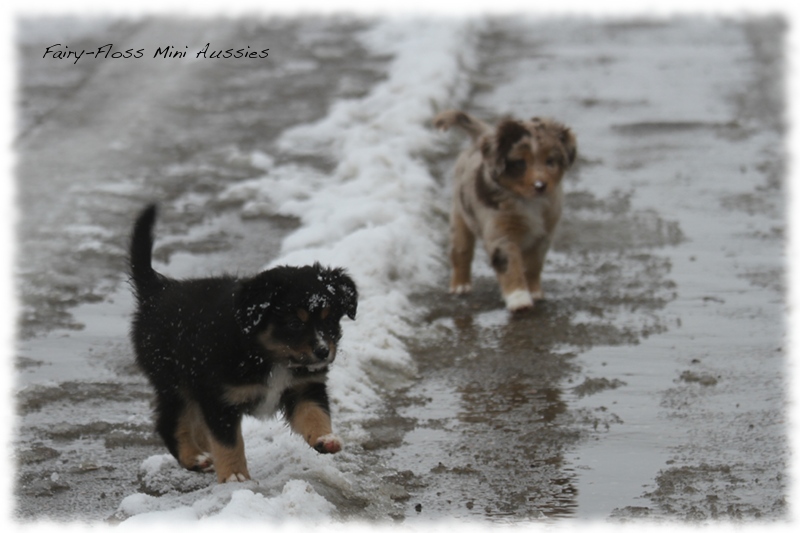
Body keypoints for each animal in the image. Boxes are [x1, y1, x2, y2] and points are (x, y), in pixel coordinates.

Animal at [128, 205, 356, 482]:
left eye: (330, 320)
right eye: (294, 323)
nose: (323, 352)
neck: (267, 355)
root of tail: (157, 291)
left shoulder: (304, 387)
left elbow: (315, 414)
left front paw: (326, 438)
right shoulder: (221, 398)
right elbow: (229, 442)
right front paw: (235, 476)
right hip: (173, 381)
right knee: (171, 421)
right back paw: (194, 457)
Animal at [434, 111, 580, 312]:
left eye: (550, 161)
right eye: (519, 162)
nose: (540, 186)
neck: (528, 202)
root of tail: (481, 136)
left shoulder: (543, 235)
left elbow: (533, 265)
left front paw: (533, 291)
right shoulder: (501, 234)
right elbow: (511, 266)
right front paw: (519, 300)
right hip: (460, 216)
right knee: (461, 252)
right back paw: (460, 285)